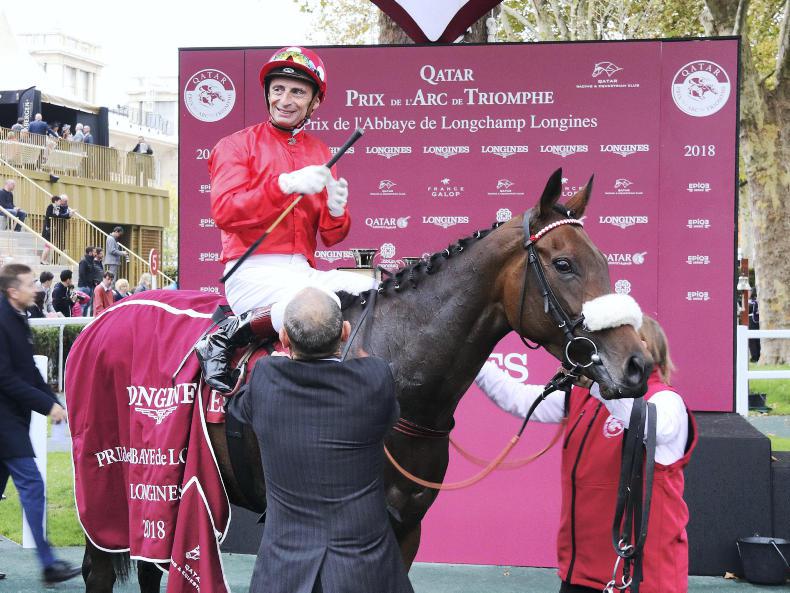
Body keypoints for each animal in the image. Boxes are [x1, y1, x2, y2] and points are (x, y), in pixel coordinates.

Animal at [80, 169, 652, 588]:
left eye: (603, 261)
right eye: (564, 264)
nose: (637, 365)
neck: (395, 367)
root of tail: (104, 317)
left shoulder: (406, 526)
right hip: (118, 484)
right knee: (100, 568)